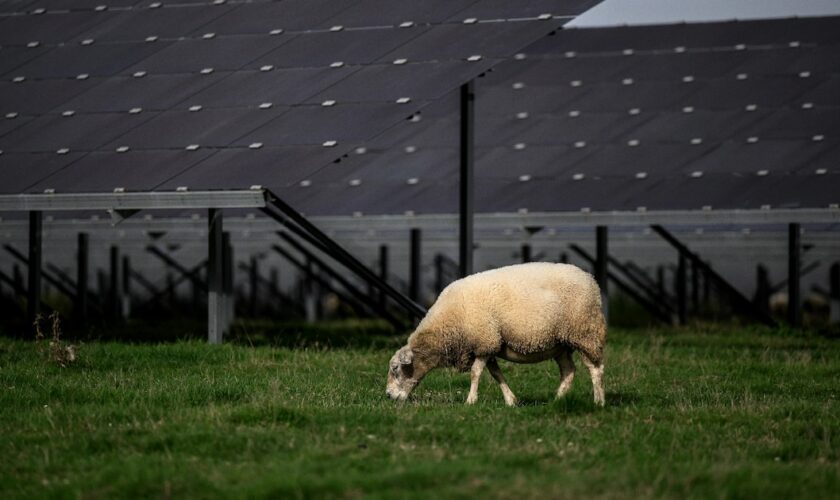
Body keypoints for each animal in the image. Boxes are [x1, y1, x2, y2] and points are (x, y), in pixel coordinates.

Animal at [384, 262, 608, 406]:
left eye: (395, 369)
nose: (388, 396)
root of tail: (591, 279)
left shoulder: (484, 341)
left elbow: (475, 373)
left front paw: (470, 401)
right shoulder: (490, 345)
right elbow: (496, 374)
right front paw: (511, 401)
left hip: (585, 332)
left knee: (595, 368)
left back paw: (599, 401)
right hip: (561, 344)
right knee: (568, 371)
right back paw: (558, 400)